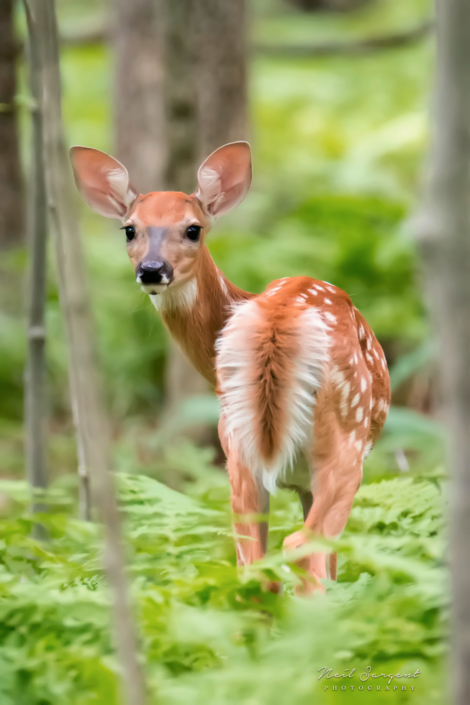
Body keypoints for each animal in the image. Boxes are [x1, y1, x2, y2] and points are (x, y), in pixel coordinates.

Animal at [70, 140, 390, 592]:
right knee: (301, 547)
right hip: (345, 440)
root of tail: (275, 322)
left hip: (237, 446)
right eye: (129, 229)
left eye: (193, 228)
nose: (152, 270)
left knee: (254, 563)